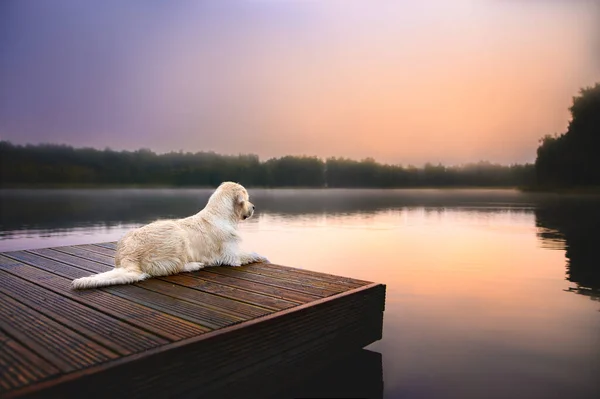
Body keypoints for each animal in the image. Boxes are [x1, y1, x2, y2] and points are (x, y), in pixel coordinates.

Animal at [71, 182, 268, 290]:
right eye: (246, 199)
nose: (254, 207)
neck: (222, 214)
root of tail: (129, 257)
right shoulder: (231, 256)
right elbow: (252, 253)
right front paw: (264, 257)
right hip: (175, 234)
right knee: (175, 268)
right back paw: (194, 265)